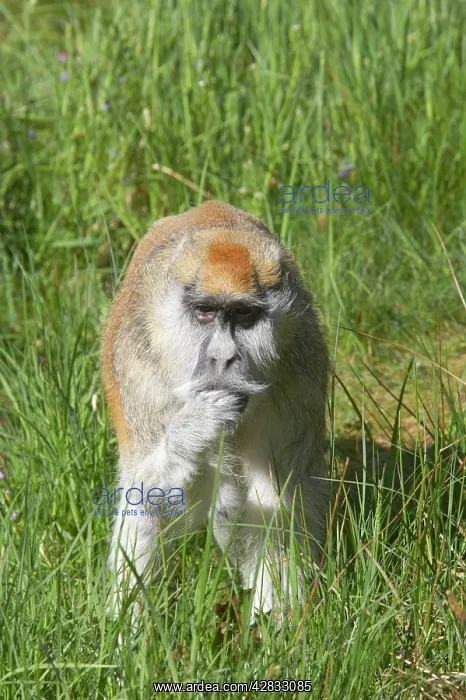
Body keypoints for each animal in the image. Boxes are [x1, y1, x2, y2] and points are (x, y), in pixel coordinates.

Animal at [102, 200, 329, 623]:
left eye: (243, 315)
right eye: (205, 311)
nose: (223, 357)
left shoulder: (299, 378)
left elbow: (278, 506)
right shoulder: (140, 371)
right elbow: (142, 491)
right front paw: (192, 429)